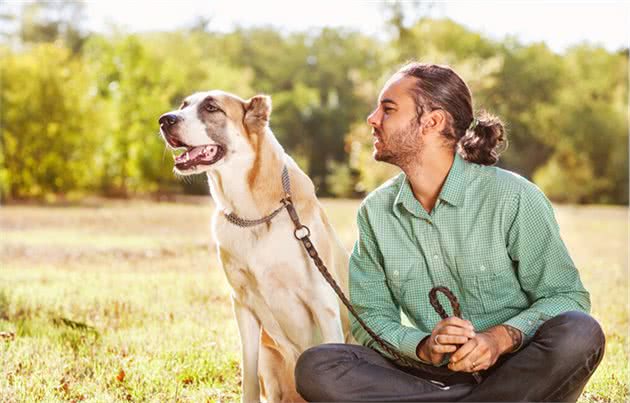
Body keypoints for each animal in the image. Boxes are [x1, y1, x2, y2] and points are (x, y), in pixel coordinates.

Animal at [159, 92, 356, 403]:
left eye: (211, 107)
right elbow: (247, 377)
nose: (164, 120)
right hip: (269, 356)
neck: (253, 213)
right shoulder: (243, 305)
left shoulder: (322, 301)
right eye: (183, 106)